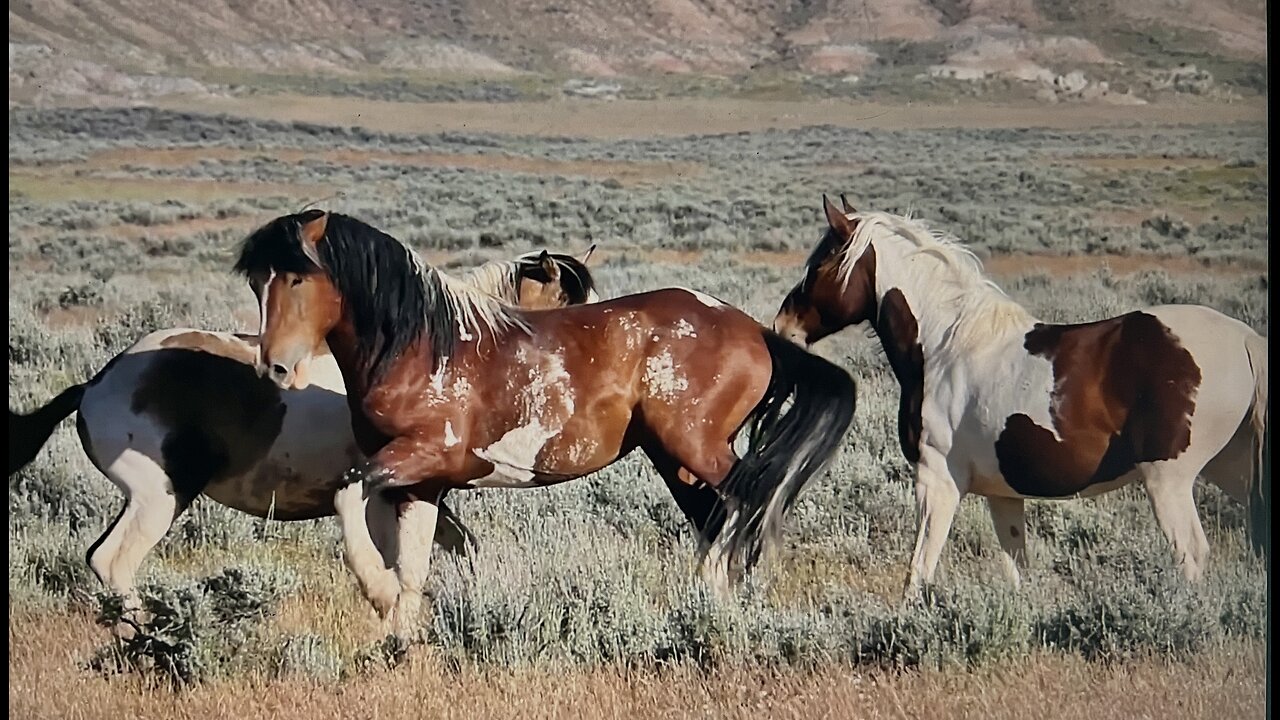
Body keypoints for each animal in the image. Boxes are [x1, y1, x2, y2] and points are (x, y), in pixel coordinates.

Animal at [7, 243, 596, 614]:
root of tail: (97, 383)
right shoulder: (387, 493)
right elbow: (401, 563)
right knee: (111, 562)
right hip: (159, 498)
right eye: (570, 306)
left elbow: (455, 551)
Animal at [238, 207, 860, 627]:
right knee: (719, 518)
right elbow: (412, 564)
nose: (275, 366)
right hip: (674, 460)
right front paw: (400, 635)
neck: (421, 345)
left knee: (743, 505)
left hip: (698, 449)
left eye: (298, 278)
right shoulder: (421, 484)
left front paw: (378, 593)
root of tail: (752, 330)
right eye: (256, 282)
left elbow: (349, 499)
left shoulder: (420, 455)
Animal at [773, 193, 1264, 597]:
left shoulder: (937, 482)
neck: (947, 345)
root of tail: (1245, 340)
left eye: (821, 264)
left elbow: (919, 572)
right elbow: (1016, 572)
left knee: (1192, 555)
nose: (783, 325)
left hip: (1169, 481)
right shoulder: (1004, 496)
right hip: (1234, 470)